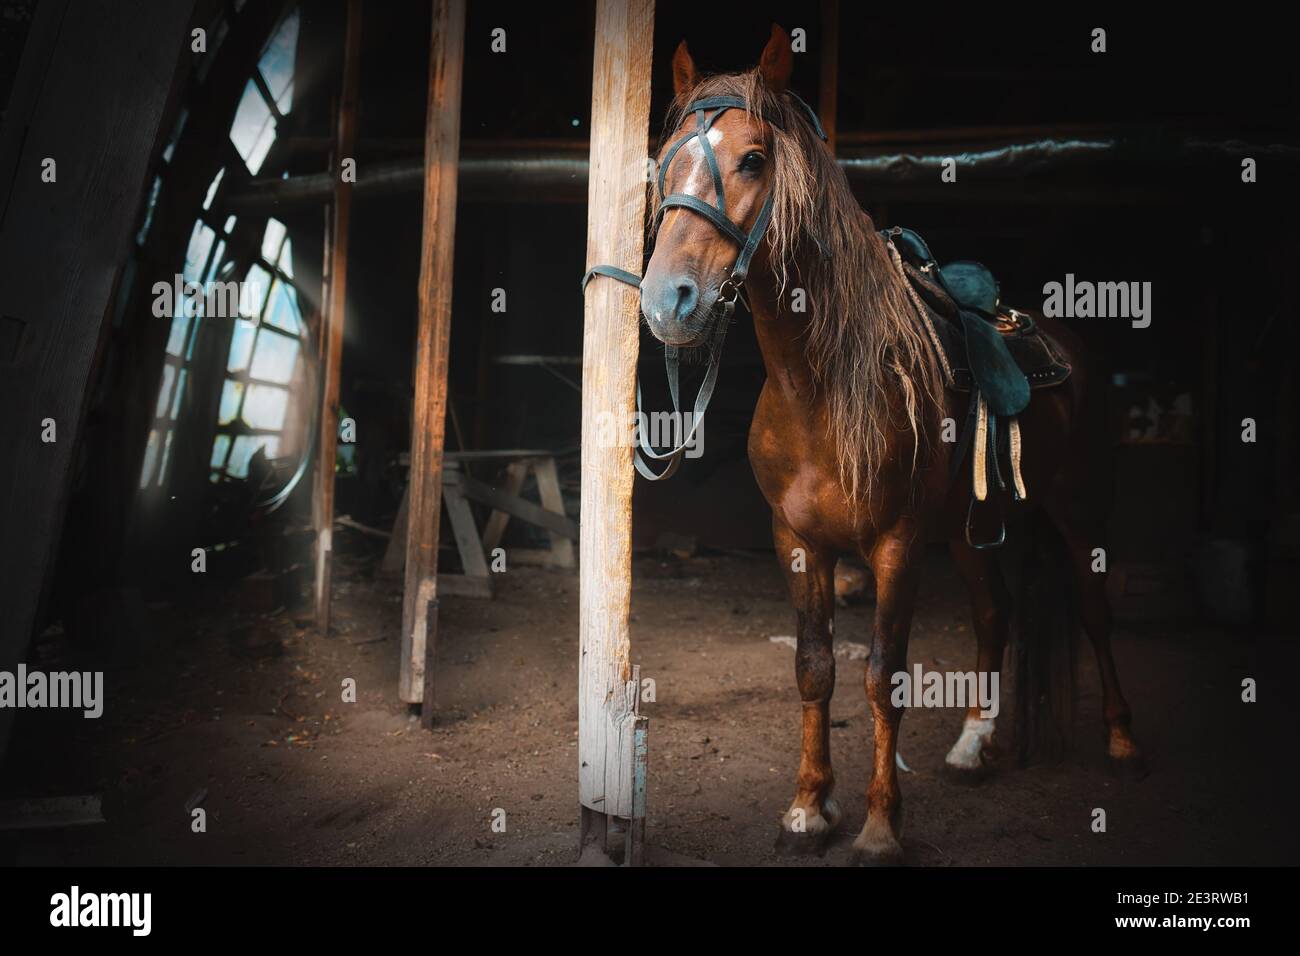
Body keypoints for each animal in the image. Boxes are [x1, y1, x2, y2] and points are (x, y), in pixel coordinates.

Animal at [634, 27, 1144, 868]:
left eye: (752, 159)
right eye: (663, 161)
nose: (665, 300)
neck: (822, 388)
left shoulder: (897, 545)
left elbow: (882, 676)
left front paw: (879, 826)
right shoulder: (797, 541)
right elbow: (813, 669)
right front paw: (808, 809)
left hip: (1077, 515)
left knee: (1096, 613)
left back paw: (1123, 740)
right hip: (970, 532)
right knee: (995, 614)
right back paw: (972, 748)